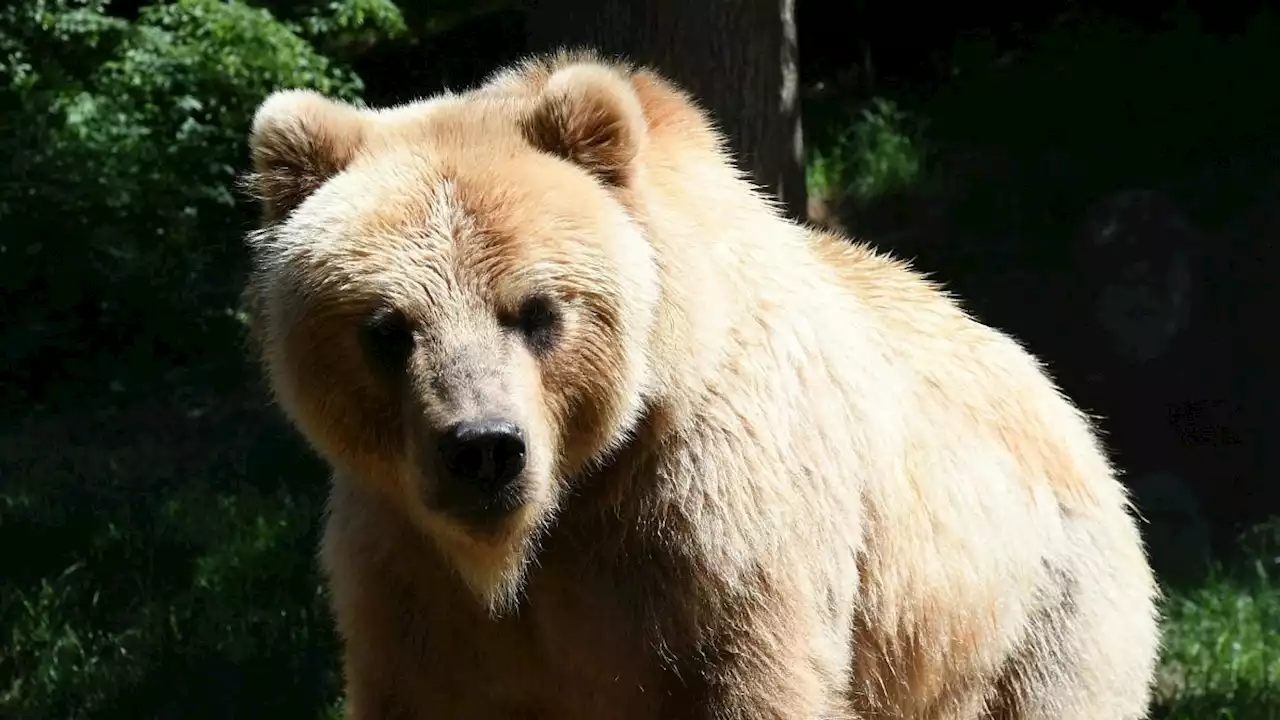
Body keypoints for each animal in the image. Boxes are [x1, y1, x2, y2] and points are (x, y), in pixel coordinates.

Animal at [240, 47, 1162, 712]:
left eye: (536, 310)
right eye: (388, 329)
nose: (484, 449)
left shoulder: (713, 530)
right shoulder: (409, 574)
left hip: (1028, 617)